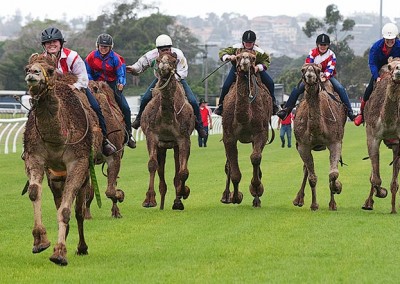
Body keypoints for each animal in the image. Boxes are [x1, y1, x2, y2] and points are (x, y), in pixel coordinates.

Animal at [140, 50, 195, 211]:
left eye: (173, 60)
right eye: (157, 60)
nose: (164, 67)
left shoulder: (183, 139)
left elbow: (183, 172)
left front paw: (184, 192)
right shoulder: (152, 135)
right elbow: (152, 165)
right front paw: (149, 200)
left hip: (174, 145)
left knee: (177, 169)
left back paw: (177, 200)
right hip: (162, 146)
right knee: (160, 166)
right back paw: (162, 203)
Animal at [220, 50, 274, 207]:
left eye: (254, 58)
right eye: (237, 57)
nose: (245, 59)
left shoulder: (260, 133)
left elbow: (255, 158)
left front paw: (256, 189)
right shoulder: (228, 136)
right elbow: (234, 171)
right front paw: (236, 197)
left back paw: (256, 199)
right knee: (228, 165)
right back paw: (226, 196)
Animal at [290, 64, 346, 211]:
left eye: (319, 69)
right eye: (303, 70)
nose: (310, 74)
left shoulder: (335, 142)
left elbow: (333, 173)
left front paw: (337, 190)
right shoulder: (303, 146)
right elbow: (312, 178)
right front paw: (314, 204)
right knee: (306, 169)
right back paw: (298, 200)